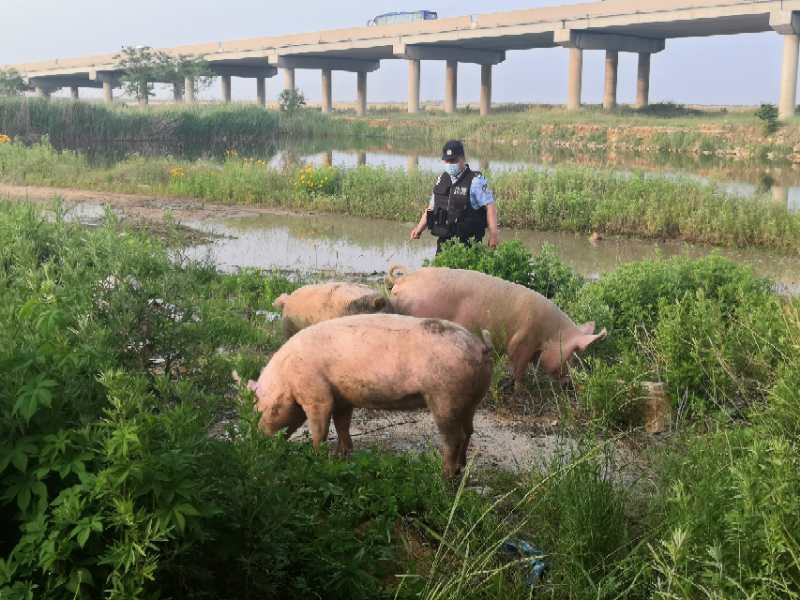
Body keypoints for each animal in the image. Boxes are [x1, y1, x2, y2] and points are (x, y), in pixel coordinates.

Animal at [241, 314, 496, 478]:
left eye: (262, 409)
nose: (256, 442)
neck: (286, 377)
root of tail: (481, 346)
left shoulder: (317, 395)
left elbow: (319, 430)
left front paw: (315, 457)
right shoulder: (342, 397)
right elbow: (342, 424)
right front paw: (342, 456)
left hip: (444, 397)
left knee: (453, 437)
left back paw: (444, 476)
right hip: (469, 401)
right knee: (469, 431)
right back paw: (461, 468)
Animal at [388, 268, 608, 384]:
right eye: (573, 354)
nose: (569, 382)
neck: (550, 333)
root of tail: (404, 278)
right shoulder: (523, 339)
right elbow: (518, 366)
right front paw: (520, 389)